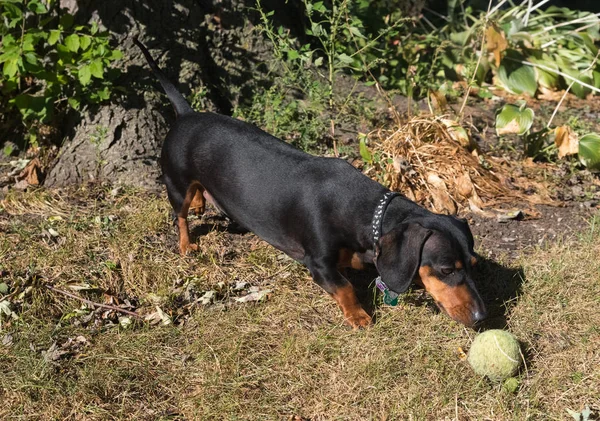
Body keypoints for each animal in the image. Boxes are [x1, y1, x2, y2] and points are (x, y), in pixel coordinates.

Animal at [134, 38, 486, 328]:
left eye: (472, 265)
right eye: (446, 269)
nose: (483, 317)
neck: (365, 210)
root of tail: (187, 114)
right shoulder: (317, 263)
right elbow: (344, 287)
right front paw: (359, 317)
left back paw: (200, 202)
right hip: (176, 183)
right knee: (179, 216)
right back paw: (186, 245)